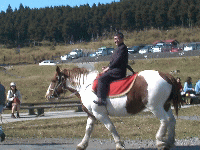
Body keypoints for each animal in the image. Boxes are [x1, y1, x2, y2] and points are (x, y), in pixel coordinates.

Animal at [45, 66, 183, 150]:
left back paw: (160, 141)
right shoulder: (91, 115)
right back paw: (170, 141)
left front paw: (119, 144)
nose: (47, 95)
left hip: (155, 107)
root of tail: (166, 76)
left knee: (164, 120)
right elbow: (88, 129)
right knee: (172, 120)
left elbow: (110, 127)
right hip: (165, 106)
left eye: (54, 80)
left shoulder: (100, 114)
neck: (85, 87)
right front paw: (82, 144)